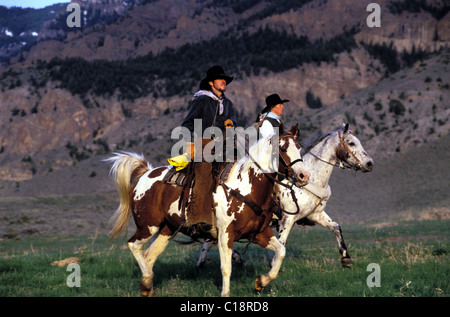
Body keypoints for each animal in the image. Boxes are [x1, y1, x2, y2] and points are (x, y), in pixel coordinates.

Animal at [106, 124, 310, 296]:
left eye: (299, 148)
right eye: (282, 148)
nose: (303, 175)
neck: (246, 187)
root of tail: (145, 173)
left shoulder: (260, 233)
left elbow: (281, 251)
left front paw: (261, 282)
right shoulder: (225, 234)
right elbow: (226, 268)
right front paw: (226, 293)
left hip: (167, 229)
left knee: (149, 256)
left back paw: (147, 287)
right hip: (148, 226)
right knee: (134, 245)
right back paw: (147, 281)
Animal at [197, 123, 372, 270]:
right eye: (351, 143)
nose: (369, 163)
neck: (312, 179)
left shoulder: (315, 214)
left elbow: (336, 227)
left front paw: (345, 257)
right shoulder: (287, 218)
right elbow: (282, 242)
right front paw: (273, 267)